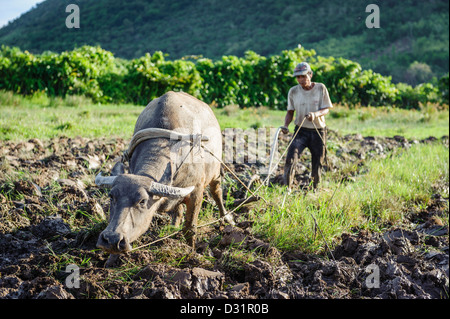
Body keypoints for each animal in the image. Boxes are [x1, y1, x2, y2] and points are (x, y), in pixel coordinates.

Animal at [96, 92, 234, 255]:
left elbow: (190, 228)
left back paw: (226, 218)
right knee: (178, 208)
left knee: (216, 192)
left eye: (142, 201)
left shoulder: (197, 192)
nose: (112, 239)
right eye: (111, 196)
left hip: (215, 173)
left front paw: (191, 251)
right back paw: (173, 226)